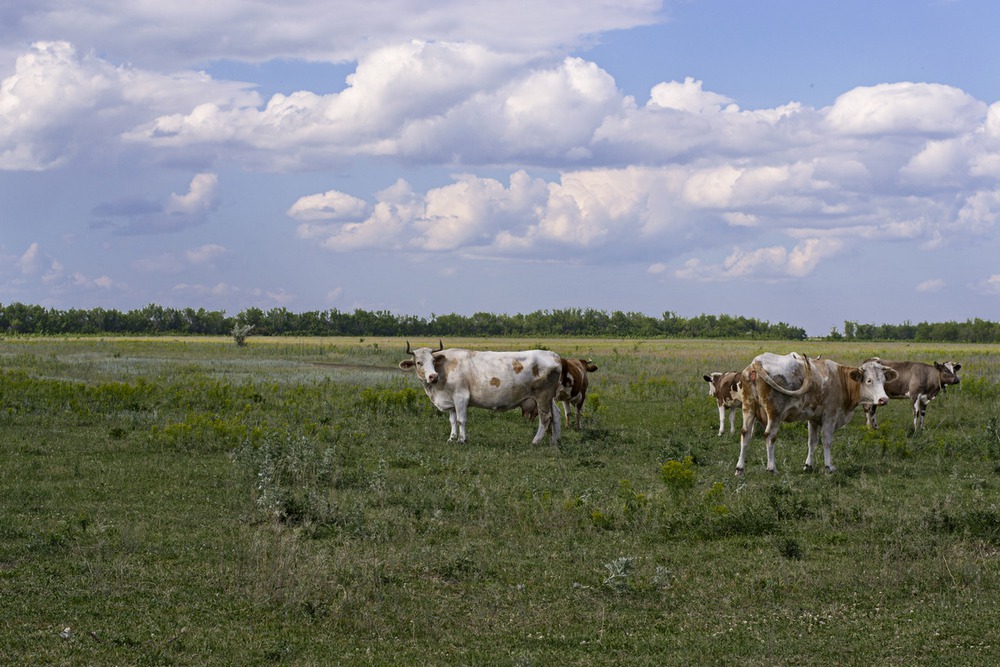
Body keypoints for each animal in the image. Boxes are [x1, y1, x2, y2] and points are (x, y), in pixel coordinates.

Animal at [400, 342, 564, 446]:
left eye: (433, 361)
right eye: (419, 362)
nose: (432, 376)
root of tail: (551, 354)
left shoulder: (461, 397)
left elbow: (461, 420)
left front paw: (462, 440)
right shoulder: (451, 401)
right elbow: (452, 420)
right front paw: (452, 438)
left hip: (542, 396)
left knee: (545, 418)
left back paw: (535, 441)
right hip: (548, 398)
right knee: (556, 415)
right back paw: (554, 441)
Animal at [736, 354, 900, 474]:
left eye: (883, 380)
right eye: (869, 380)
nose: (883, 399)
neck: (841, 381)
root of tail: (757, 362)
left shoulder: (813, 419)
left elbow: (812, 442)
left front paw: (808, 465)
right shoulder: (830, 416)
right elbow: (826, 441)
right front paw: (829, 466)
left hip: (748, 409)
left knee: (745, 434)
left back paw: (740, 468)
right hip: (775, 414)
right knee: (770, 436)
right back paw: (771, 468)